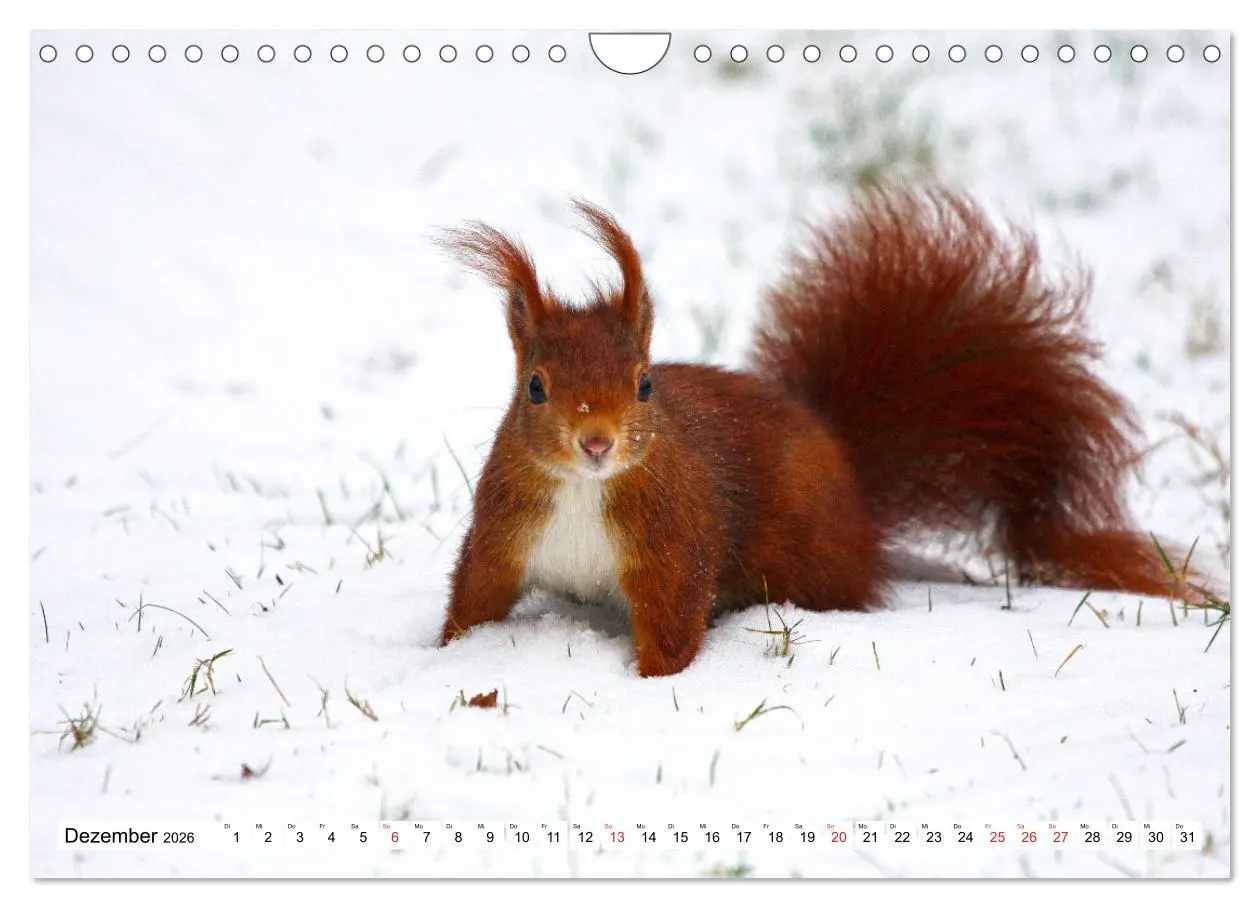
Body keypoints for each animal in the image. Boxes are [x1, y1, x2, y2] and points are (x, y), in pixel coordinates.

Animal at [437, 187, 1193, 678]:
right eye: (535, 388)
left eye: (645, 384)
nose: (597, 442)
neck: (582, 491)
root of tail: (850, 479)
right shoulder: (505, 534)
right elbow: (477, 595)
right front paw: (445, 656)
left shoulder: (673, 545)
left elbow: (674, 621)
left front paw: (653, 685)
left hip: (806, 559)